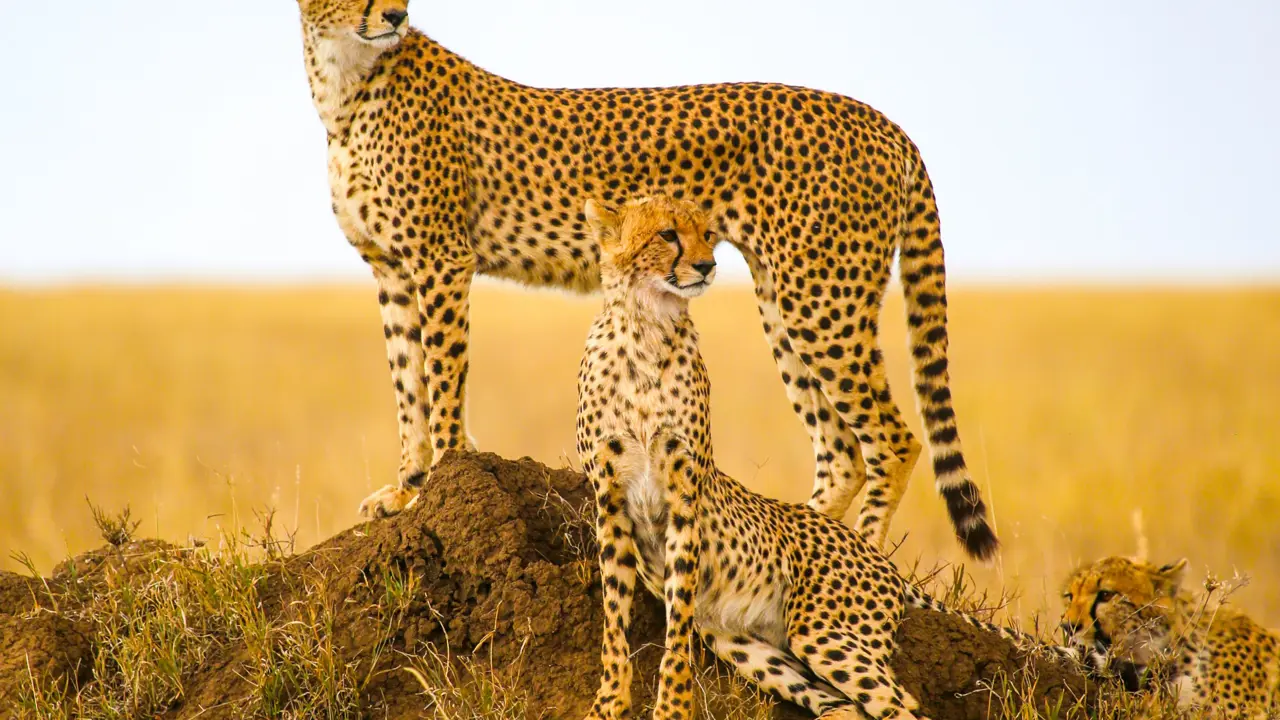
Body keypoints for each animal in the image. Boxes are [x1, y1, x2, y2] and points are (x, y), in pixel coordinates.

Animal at [294, 0, 993, 556]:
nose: (394, 15)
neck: (345, 79)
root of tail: (885, 122)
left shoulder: (440, 258)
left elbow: (440, 383)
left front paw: (434, 486)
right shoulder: (391, 267)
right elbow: (407, 384)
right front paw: (407, 490)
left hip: (820, 298)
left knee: (892, 440)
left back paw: (858, 558)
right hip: (784, 299)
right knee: (840, 449)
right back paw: (796, 544)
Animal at [578, 192, 1070, 717]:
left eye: (708, 234)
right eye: (668, 234)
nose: (707, 265)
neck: (646, 327)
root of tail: (879, 559)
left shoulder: (684, 495)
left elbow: (676, 628)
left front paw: (671, 707)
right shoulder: (610, 499)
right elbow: (614, 617)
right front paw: (608, 703)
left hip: (825, 633)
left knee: (905, 707)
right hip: (747, 645)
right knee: (844, 706)